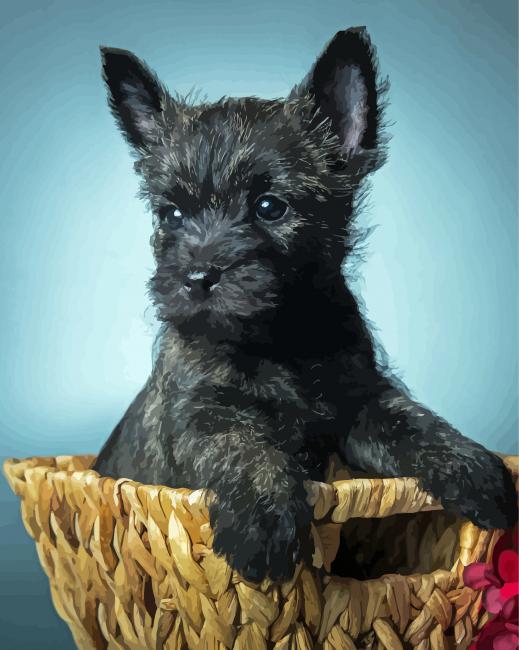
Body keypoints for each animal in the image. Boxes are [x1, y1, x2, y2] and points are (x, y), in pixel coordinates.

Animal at [94, 27, 519, 580]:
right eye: (171, 214)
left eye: (270, 206)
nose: (197, 277)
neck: (278, 340)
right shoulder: (201, 410)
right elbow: (244, 446)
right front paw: (264, 522)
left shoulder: (361, 401)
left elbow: (413, 421)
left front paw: (474, 468)